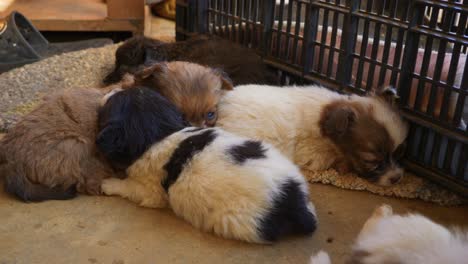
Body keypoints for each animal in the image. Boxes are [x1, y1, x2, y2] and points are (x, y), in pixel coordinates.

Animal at [97, 86, 320, 243]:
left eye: (112, 103)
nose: (110, 90)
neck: (161, 133)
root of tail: (294, 200)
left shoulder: (149, 191)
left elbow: (129, 187)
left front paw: (108, 183)